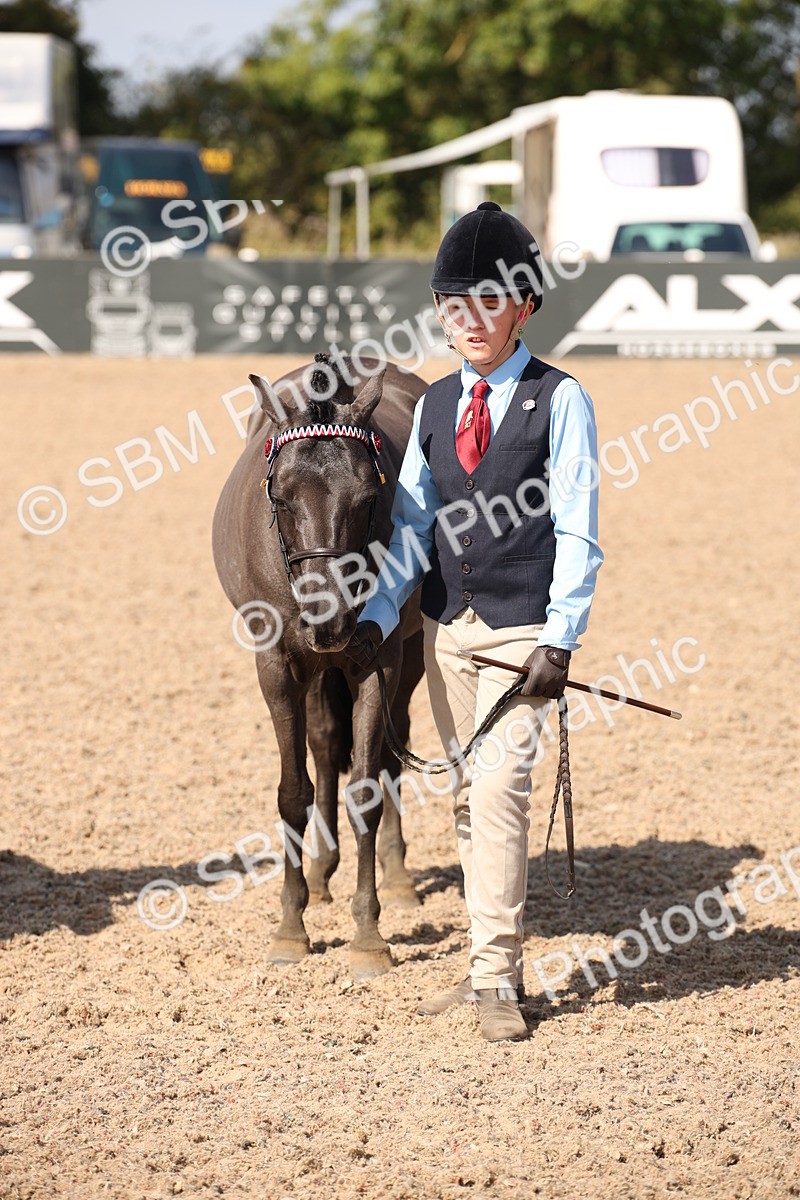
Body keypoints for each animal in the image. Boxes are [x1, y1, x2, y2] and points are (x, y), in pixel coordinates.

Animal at [212, 355, 427, 980]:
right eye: (281, 499)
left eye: (368, 497)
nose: (328, 619)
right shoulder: (278, 665)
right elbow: (293, 792)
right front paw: (291, 927)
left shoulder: (379, 657)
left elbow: (367, 789)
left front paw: (369, 937)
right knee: (327, 742)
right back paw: (320, 870)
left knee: (391, 748)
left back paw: (395, 876)